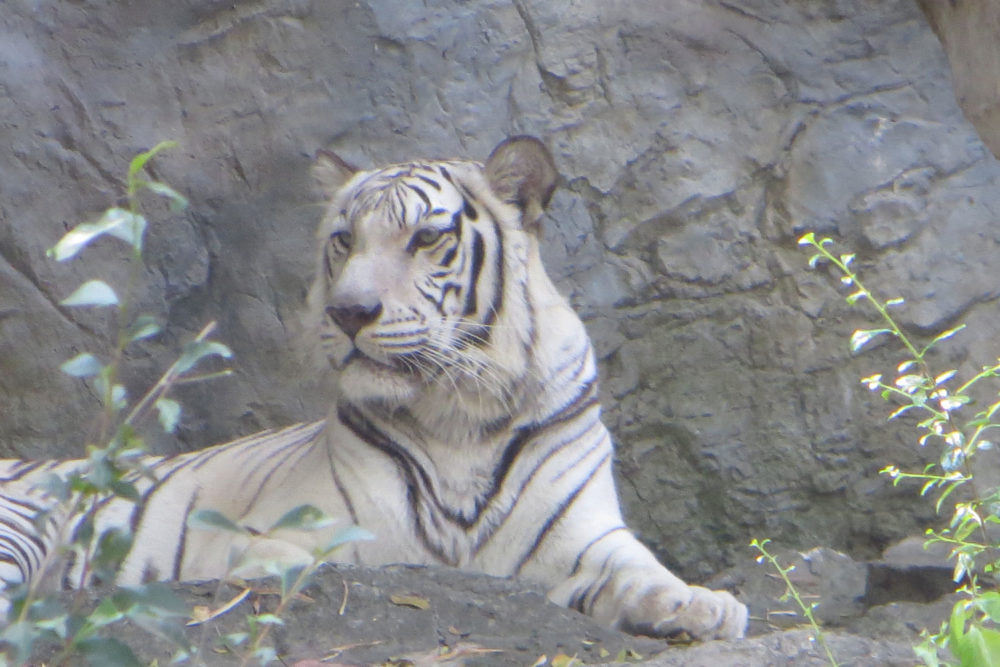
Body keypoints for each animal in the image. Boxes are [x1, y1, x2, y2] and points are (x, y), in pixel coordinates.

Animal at [0, 136, 748, 640]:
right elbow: (309, 556)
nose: (348, 312)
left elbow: (641, 568)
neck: (461, 411)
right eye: (343, 240)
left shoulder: (589, 533)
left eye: (424, 238)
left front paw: (700, 603)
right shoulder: (282, 532)